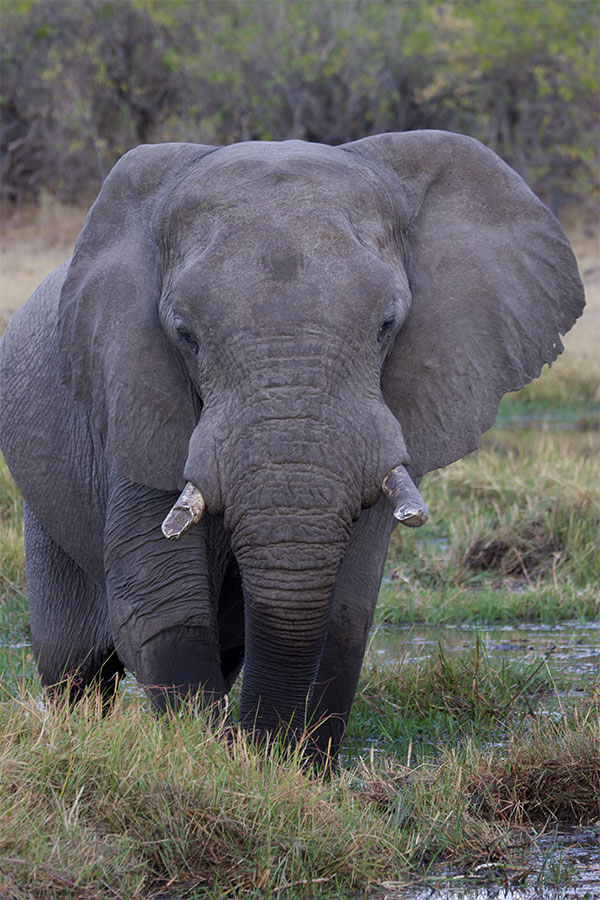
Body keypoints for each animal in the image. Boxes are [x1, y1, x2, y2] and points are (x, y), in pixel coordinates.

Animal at [0, 128, 584, 760]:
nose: (255, 747)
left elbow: (345, 614)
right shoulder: (132, 398)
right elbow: (161, 611)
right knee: (74, 664)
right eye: (185, 335)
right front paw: (217, 760)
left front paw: (289, 768)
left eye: (387, 325)